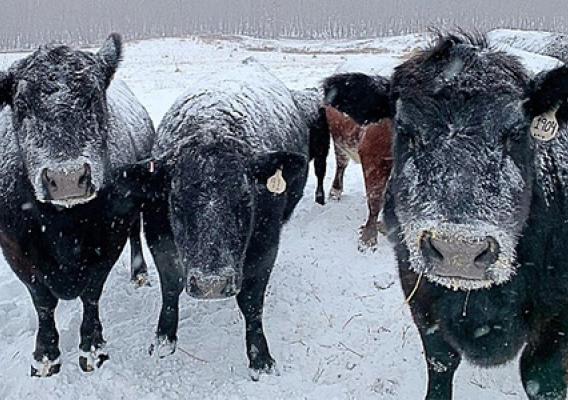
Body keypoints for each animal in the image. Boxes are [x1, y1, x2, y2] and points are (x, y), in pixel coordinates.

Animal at [0, 33, 153, 376]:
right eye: (21, 104)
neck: (63, 226)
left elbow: (91, 294)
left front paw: (93, 349)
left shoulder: (108, 241)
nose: (67, 177)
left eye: (93, 97)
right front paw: (45, 357)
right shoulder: (15, 249)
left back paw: (140, 274)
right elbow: (43, 302)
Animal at [122, 61, 310, 380]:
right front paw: (163, 340)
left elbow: (251, 302)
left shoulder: (265, 245)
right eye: (176, 201)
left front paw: (260, 358)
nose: (213, 283)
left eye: (246, 198)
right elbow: (170, 287)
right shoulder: (159, 236)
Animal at [322, 71, 392, 247]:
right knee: (341, 164)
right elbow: (375, 198)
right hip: (338, 141)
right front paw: (368, 238)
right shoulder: (373, 157)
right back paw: (335, 192)